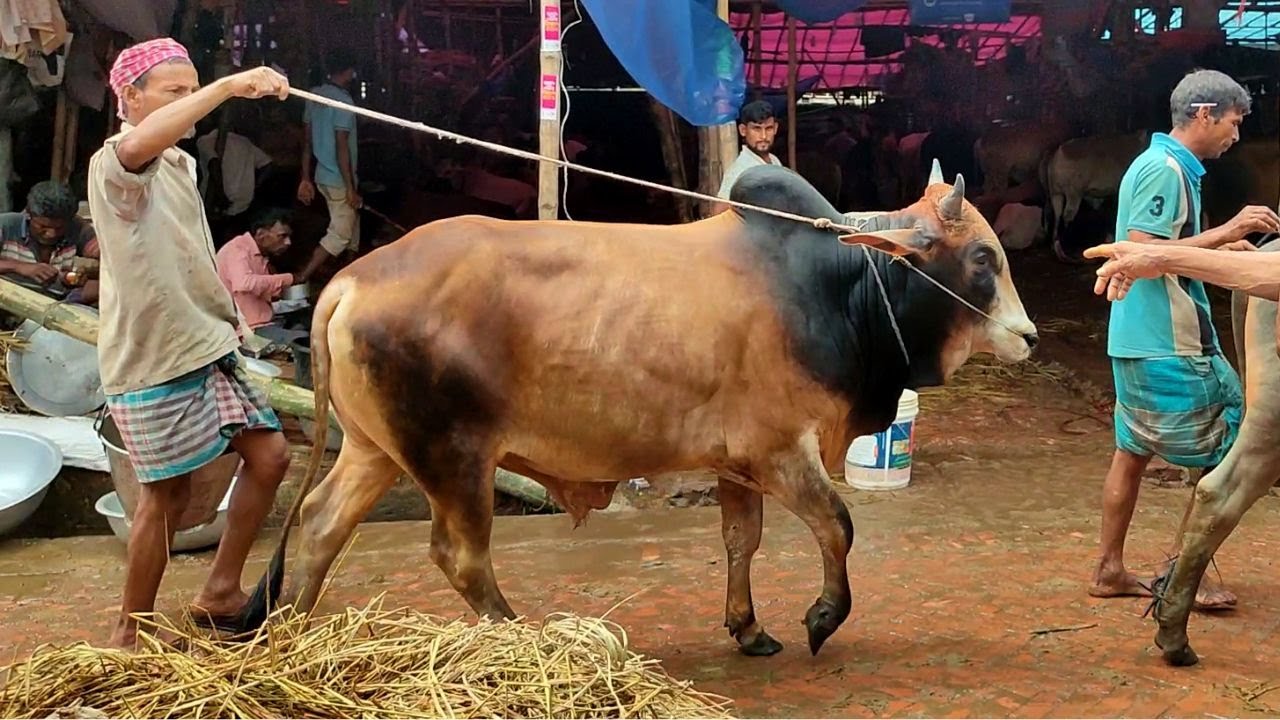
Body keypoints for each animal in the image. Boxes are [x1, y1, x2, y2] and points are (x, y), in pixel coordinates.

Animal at [231, 161, 1039, 657]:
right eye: (981, 260)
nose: (1029, 335)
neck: (837, 283)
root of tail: (352, 281)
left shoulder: (738, 465)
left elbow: (742, 542)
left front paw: (748, 629)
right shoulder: (784, 449)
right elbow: (836, 528)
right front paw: (820, 618)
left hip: (377, 449)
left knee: (323, 522)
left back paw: (296, 634)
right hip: (454, 458)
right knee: (459, 555)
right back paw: (526, 638)